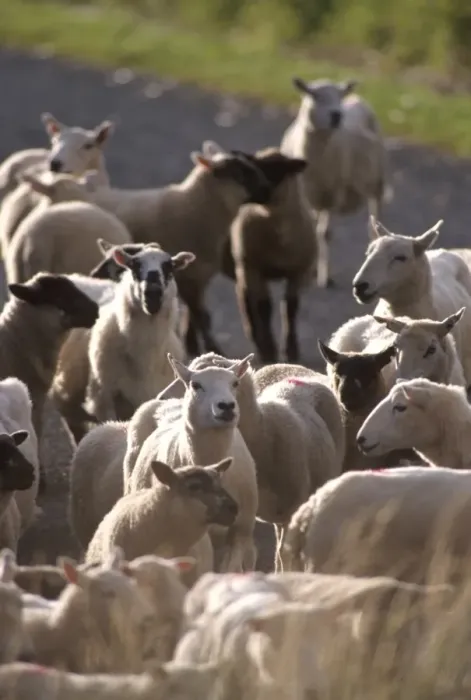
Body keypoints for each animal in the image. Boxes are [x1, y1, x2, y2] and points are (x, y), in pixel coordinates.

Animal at [89, 142, 272, 357]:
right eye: (238, 172)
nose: (268, 189)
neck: (193, 208)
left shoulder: (197, 277)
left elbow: (196, 316)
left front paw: (193, 348)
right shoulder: (188, 280)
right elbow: (202, 317)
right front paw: (213, 349)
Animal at [226, 148, 317, 364]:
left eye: (276, 169)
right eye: (252, 167)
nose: (247, 195)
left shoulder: (298, 271)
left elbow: (291, 308)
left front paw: (292, 351)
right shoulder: (255, 268)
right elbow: (264, 308)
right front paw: (270, 350)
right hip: (244, 267)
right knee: (246, 300)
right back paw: (257, 340)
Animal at [281, 78, 388, 288]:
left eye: (338, 96)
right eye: (314, 95)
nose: (336, 115)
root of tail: (356, 98)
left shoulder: (333, 194)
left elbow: (326, 234)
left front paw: (325, 278)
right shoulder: (304, 196)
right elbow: (312, 232)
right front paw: (311, 272)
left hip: (375, 182)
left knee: (375, 214)